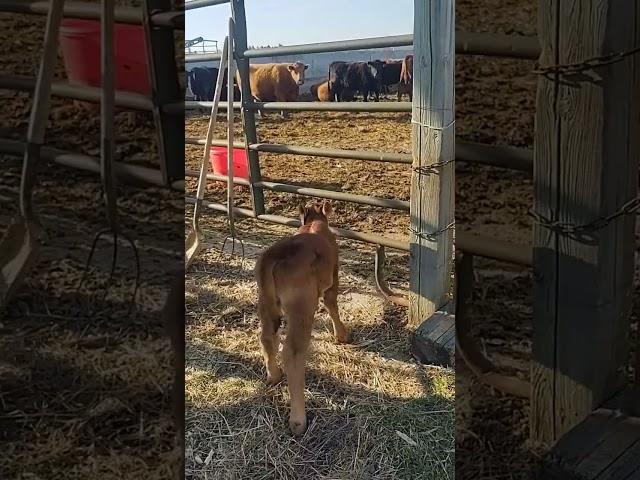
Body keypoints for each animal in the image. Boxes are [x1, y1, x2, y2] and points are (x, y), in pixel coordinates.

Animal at [254, 201, 350, 436]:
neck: (315, 223)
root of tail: (276, 253)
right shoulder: (334, 277)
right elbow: (332, 304)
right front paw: (342, 335)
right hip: (302, 309)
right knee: (293, 353)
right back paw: (298, 420)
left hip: (265, 302)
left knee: (267, 337)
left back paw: (274, 375)